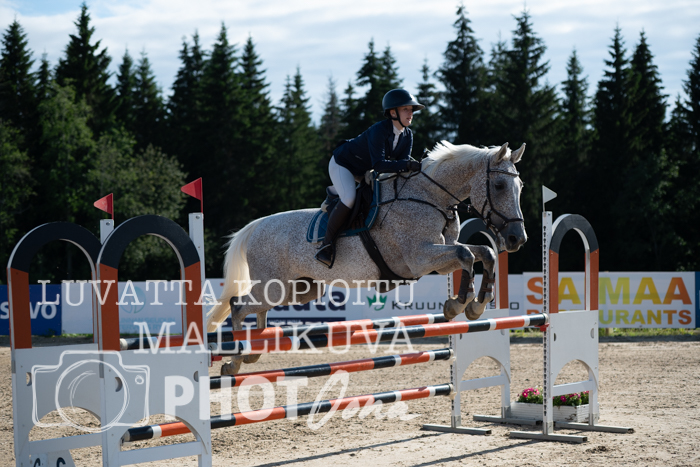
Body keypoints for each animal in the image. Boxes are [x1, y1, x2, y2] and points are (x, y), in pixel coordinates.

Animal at [207, 141, 527, 375]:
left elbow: (483, 253)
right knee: (238, 306)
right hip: (276, 286)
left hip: (298, 290)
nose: (517, 239)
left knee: (257, 311)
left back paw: (253, 352)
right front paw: (458, 305)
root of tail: (256, 226)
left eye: (520, 187)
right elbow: (465, 254)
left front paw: (477, 305)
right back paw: (235, 361)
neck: (431, 197)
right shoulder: (420, 258)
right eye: (499, 186)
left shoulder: (438, 255)